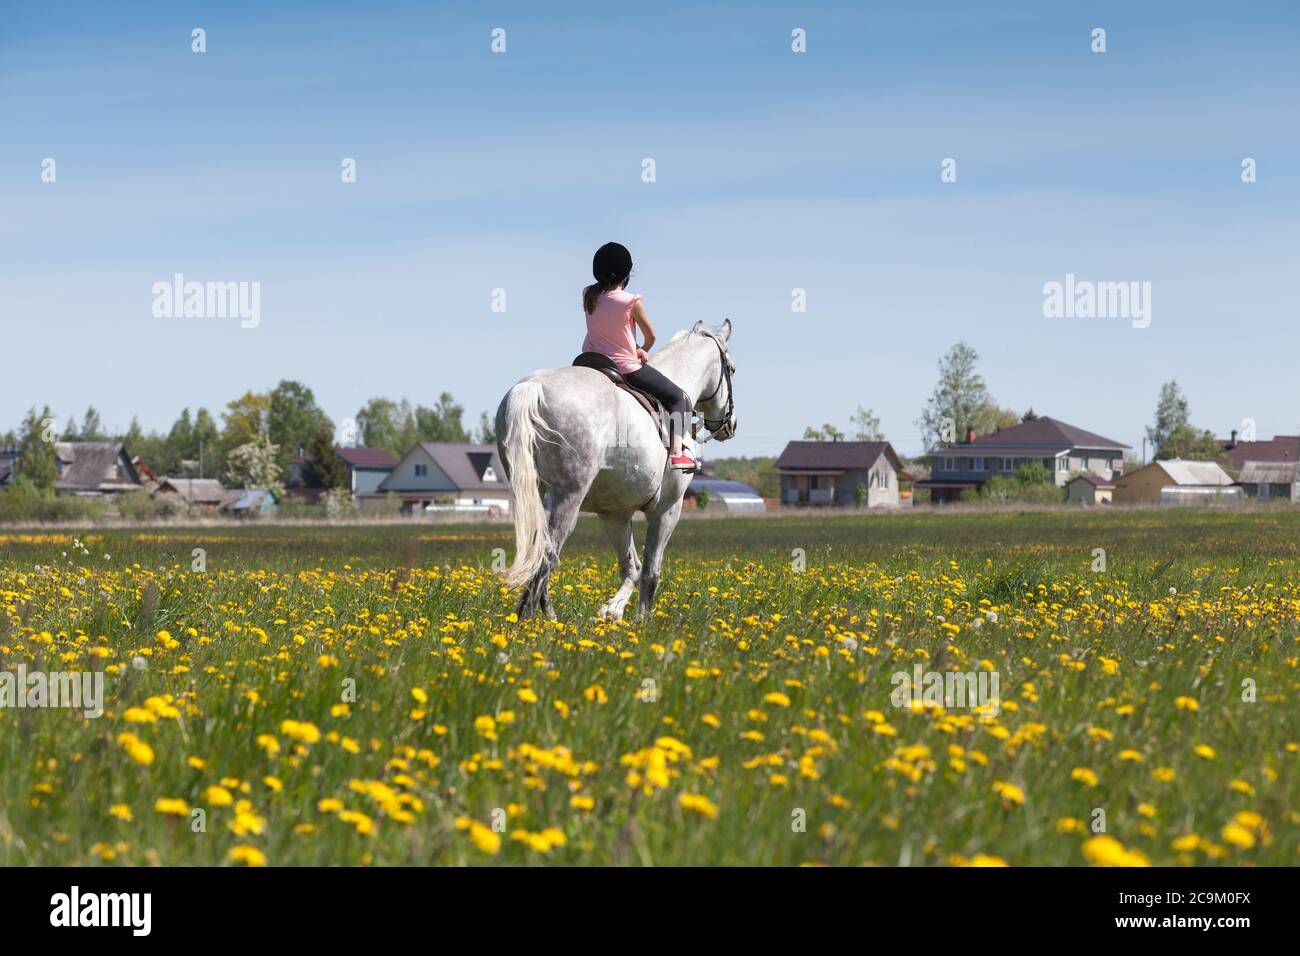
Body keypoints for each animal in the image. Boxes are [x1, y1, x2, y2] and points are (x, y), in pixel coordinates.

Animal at [496, 321, 738, 621]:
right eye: (732, 369)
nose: (730, 424)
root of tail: (532, 387)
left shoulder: (615, 513)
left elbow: (631, 567)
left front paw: (612, 610)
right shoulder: (668, 509)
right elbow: (650, 571)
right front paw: (642, 621)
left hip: (534, 495)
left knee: (542, 550)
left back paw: (545, 617)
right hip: (567, 497)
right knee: (548, 554)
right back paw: (533, 620)